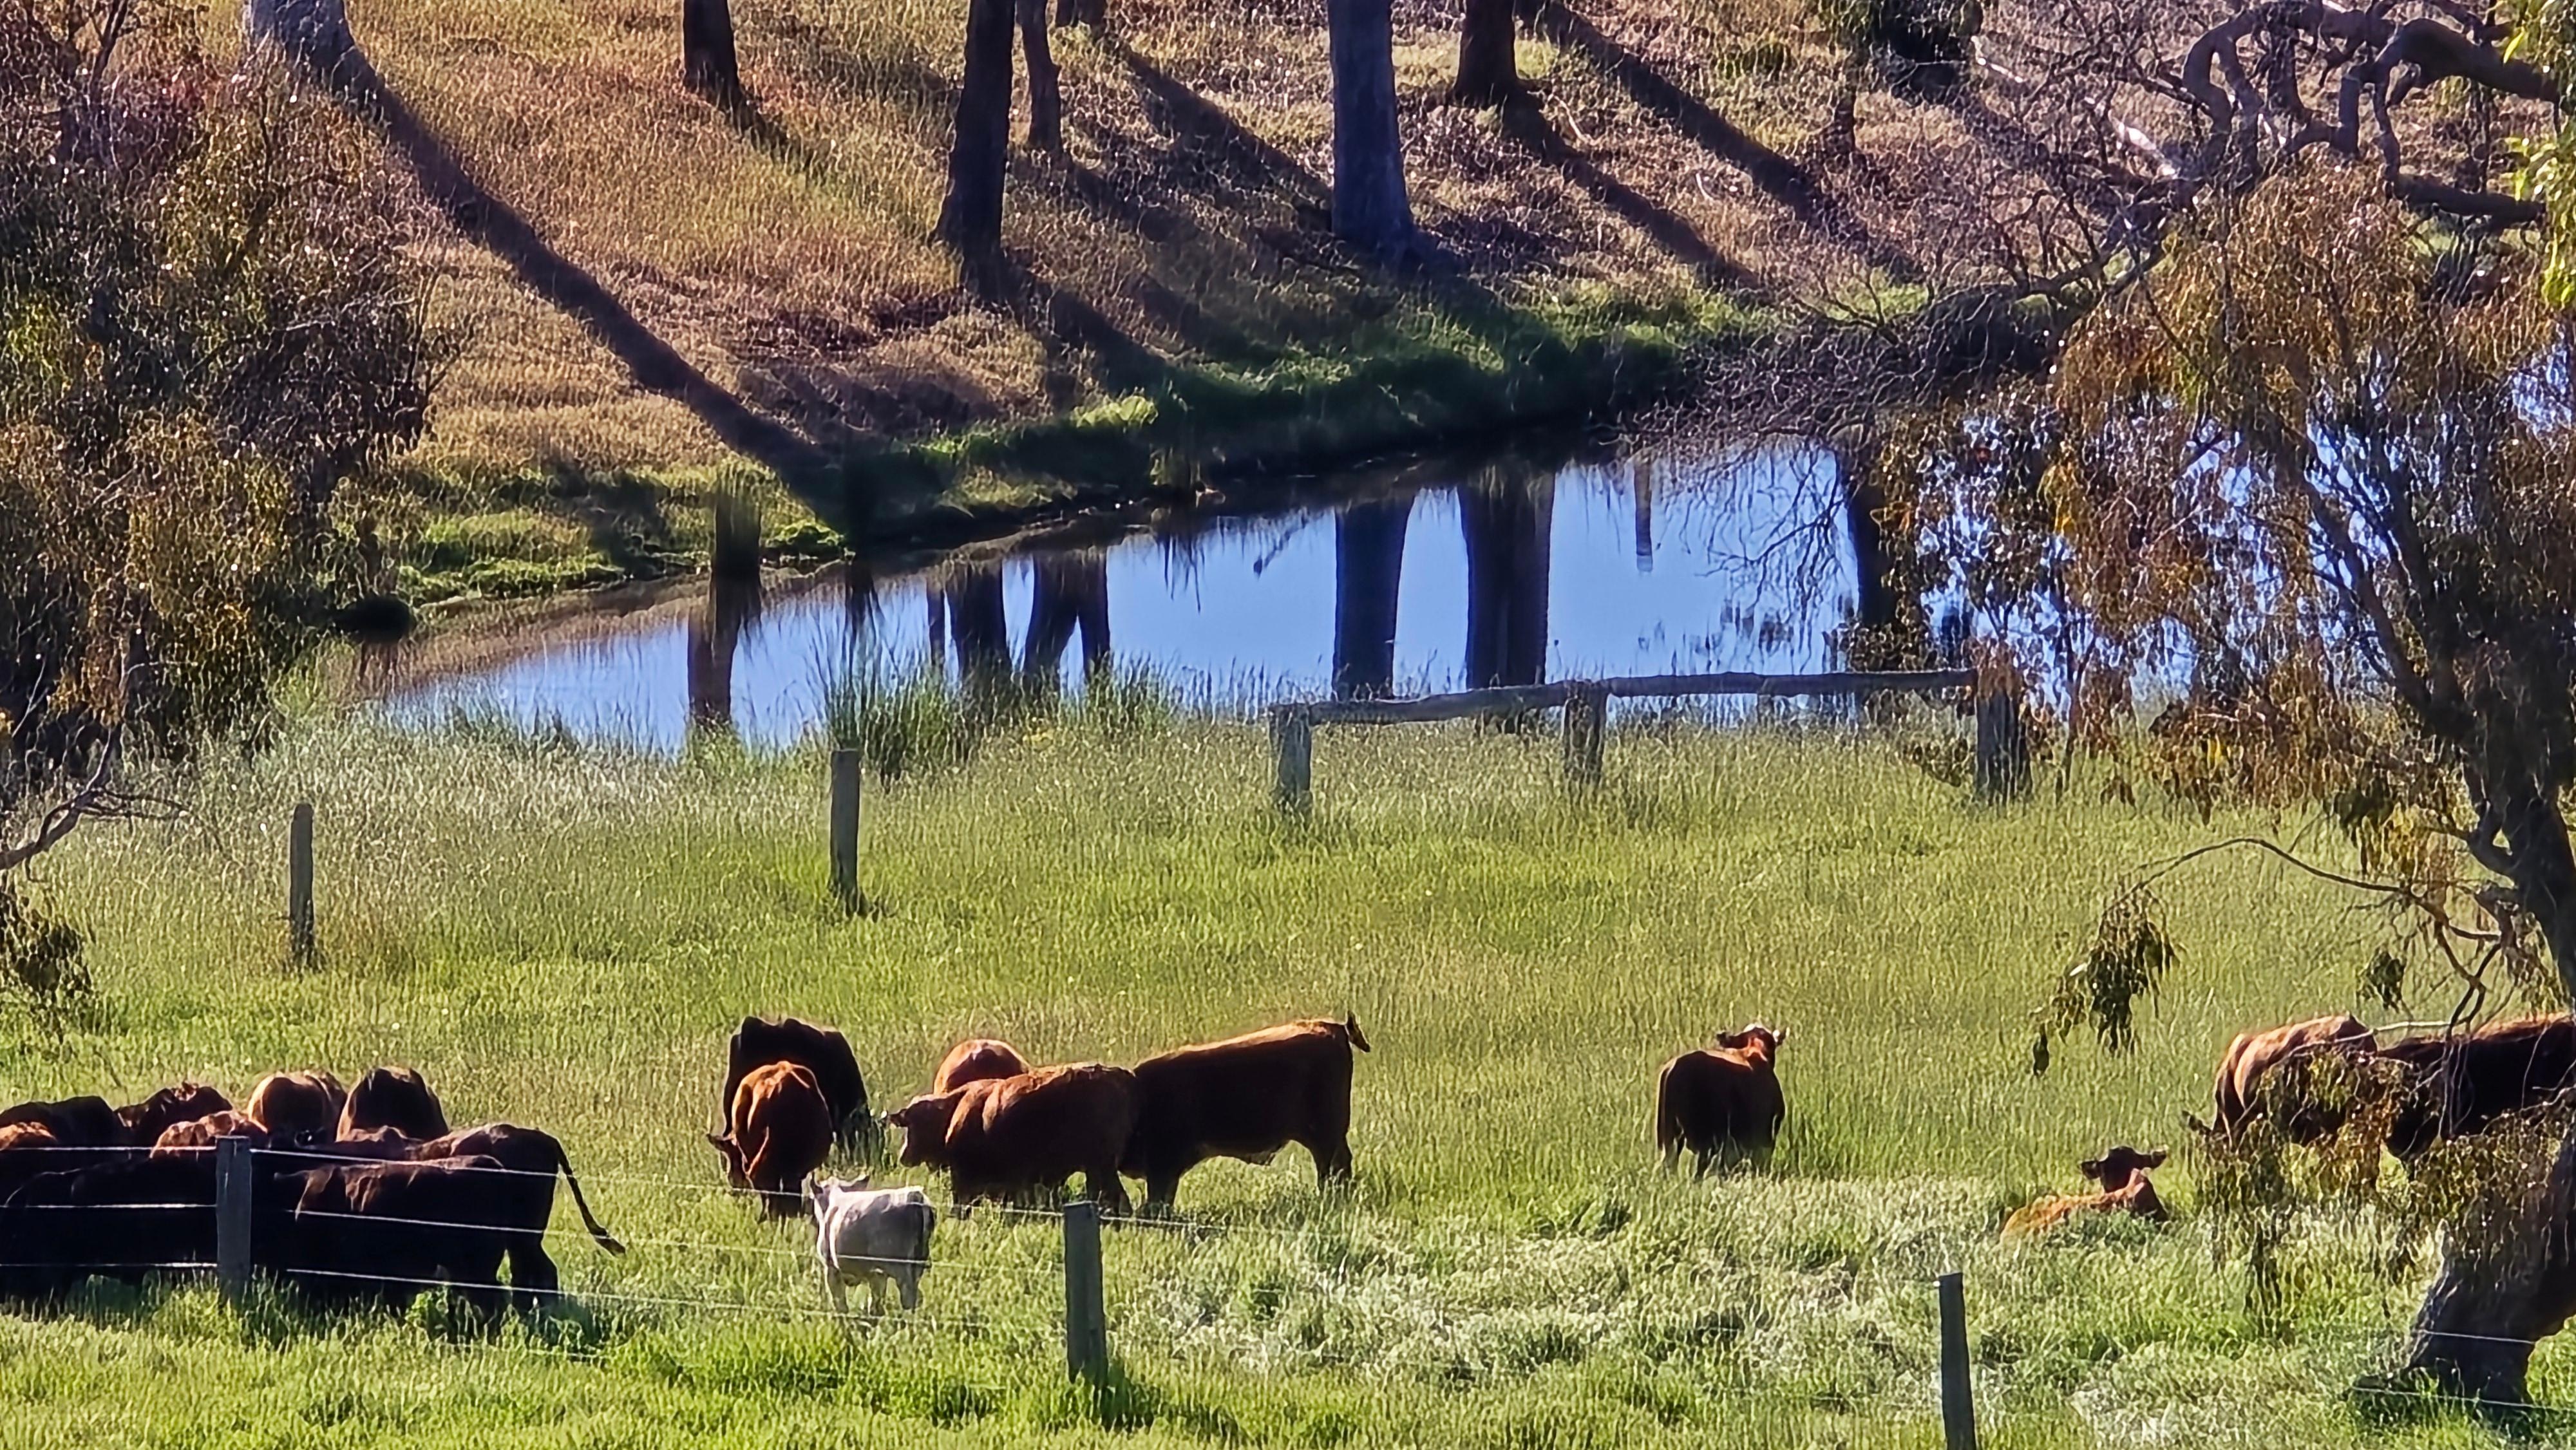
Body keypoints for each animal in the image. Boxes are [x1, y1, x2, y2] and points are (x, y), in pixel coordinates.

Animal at [805, 1175, 935, 1315]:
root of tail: (915, 1195)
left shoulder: (831, 1267)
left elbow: (841, 1304)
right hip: (916, 1266)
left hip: (901, 1269)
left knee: (909, 1299)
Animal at [890, 1063, 1138, 1216]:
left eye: (914, 1126)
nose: (904, 1156)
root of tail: (1115, 1073)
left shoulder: (965, 1180)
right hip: (1098, 1169)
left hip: (1101, 1168)